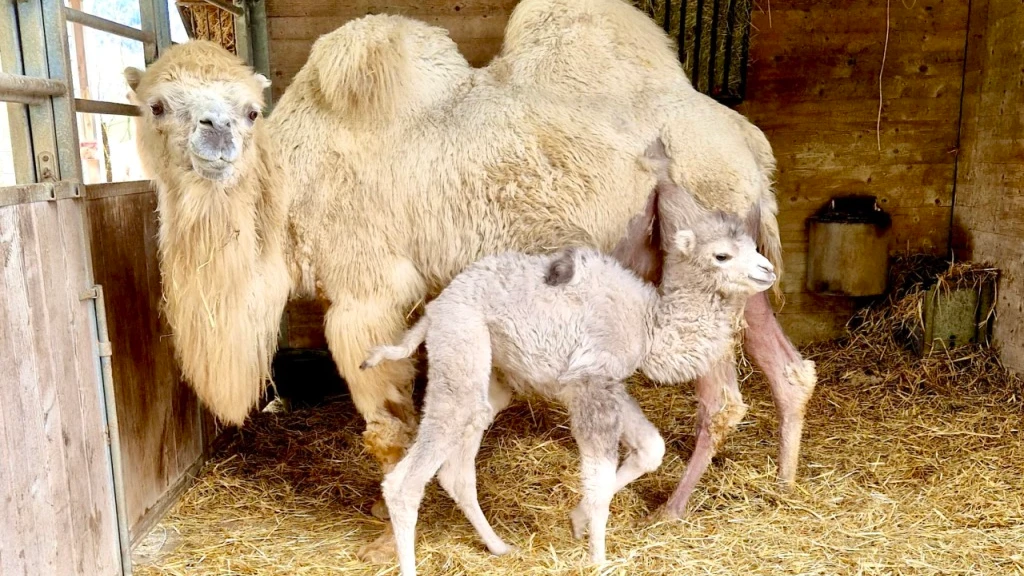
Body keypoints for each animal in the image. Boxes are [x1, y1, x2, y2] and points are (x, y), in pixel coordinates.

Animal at [125, 0, 815, 560]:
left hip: (701, 237)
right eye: (156, 105)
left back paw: (670, 507)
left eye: (249, 111)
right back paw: (783, 481)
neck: (296, 182)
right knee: (785, 369)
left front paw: (384, 535)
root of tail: (748, 140)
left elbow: (388, 430)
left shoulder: (365, 295)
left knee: (722, 397)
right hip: (730, 262)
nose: (217, 136)